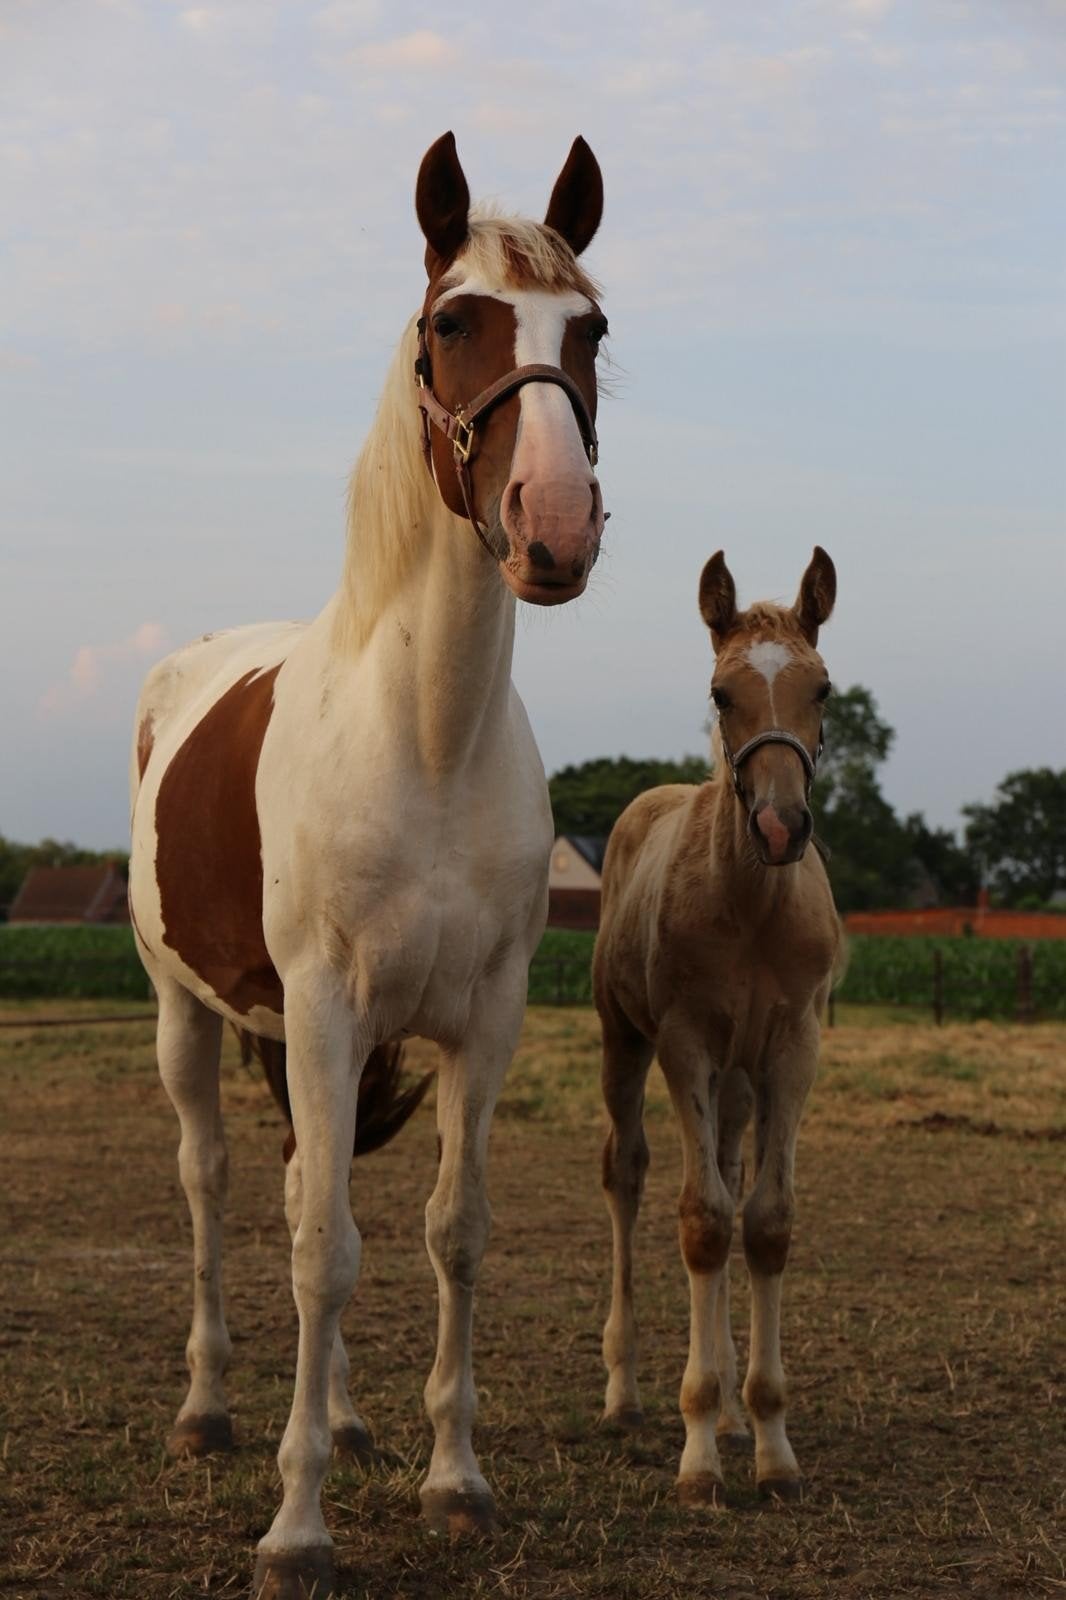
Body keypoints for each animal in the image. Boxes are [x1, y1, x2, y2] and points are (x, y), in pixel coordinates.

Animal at [128, 131, 609, 1599]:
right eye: (452, 323)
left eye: (591, 332)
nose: (553, 522)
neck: (426, 739)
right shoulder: (329, 1010)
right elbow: (319, 1254)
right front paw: (296, 1527)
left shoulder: (481, 1022)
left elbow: (449, 1231)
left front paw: (453, 1480)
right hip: (188, 1018)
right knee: (220, 1187)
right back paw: (212, 1411)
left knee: (302, 1182)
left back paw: (334, 1415)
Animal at [592, 548, 842, 1507]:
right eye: (721, 691)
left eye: (823, 689)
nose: (779, 825)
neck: (753, 905)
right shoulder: (684, 1042)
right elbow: (703, 1221)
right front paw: (699, 1454)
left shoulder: (794, 1049)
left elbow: (763, 1222)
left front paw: (768, 1443)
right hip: (624, 1044)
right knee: (626, 1174)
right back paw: (625, 1394)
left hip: (738, 1082)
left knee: (733, 1174)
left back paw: (736, 1413)